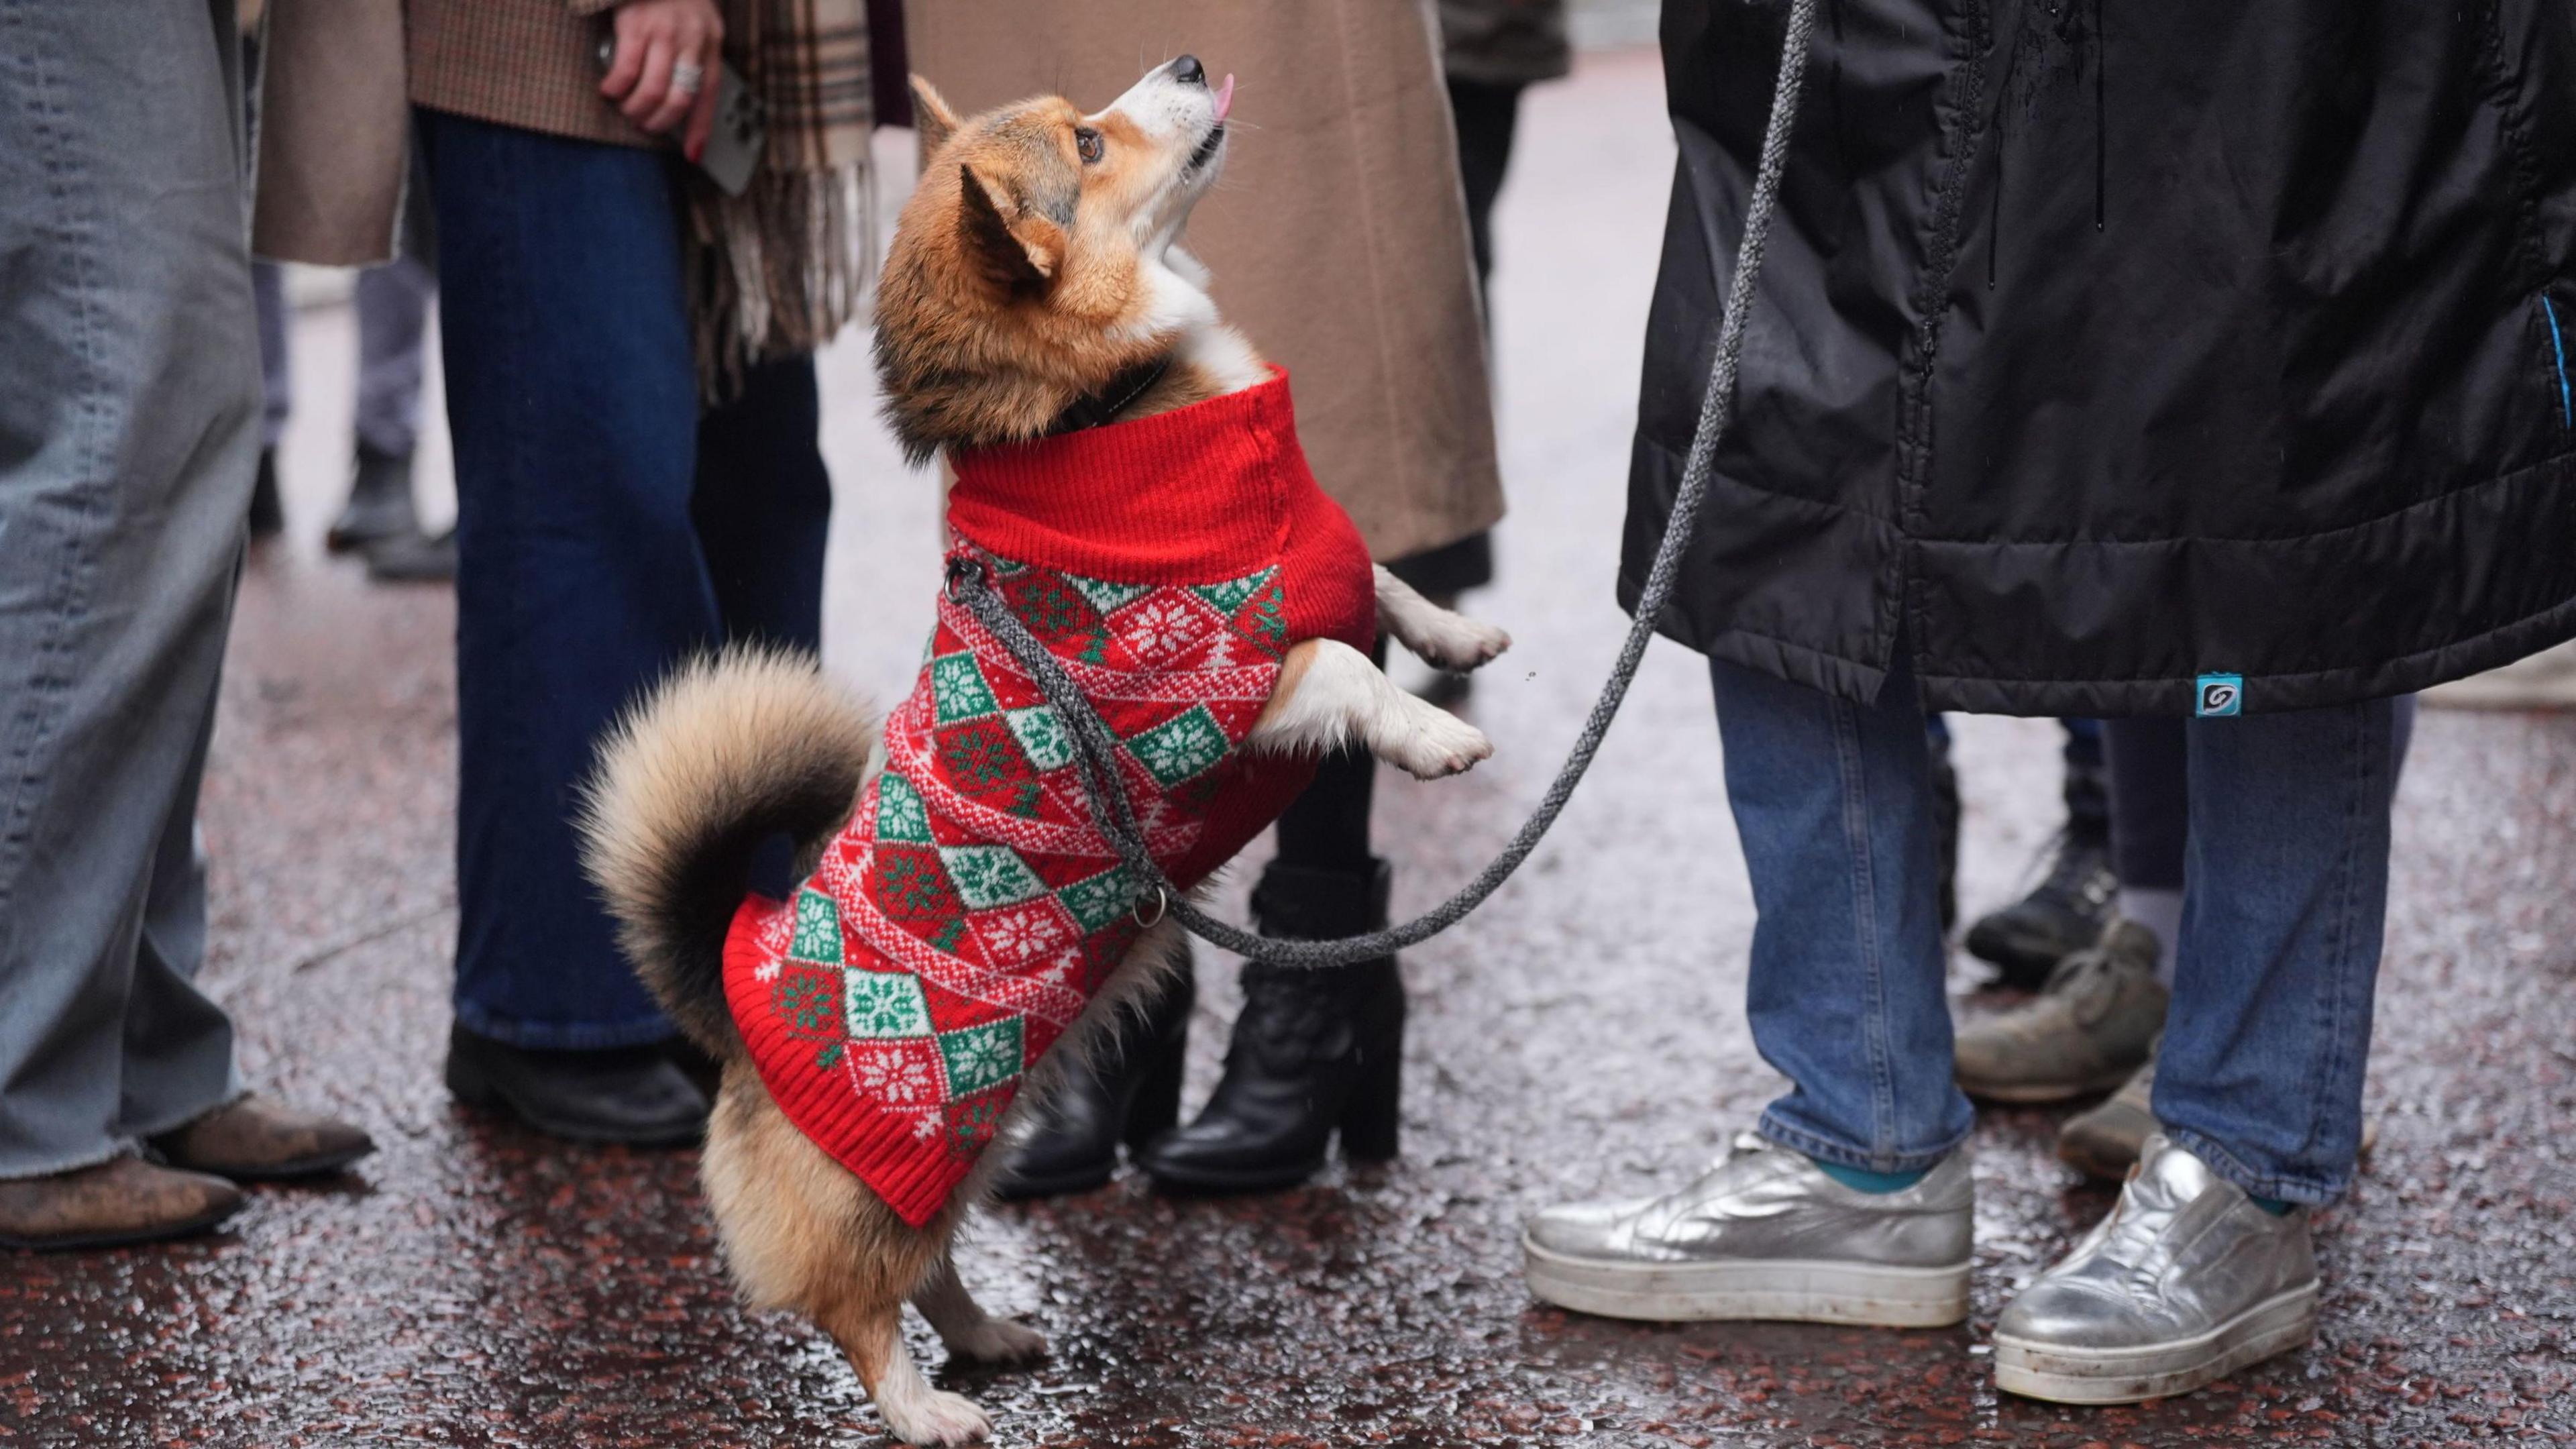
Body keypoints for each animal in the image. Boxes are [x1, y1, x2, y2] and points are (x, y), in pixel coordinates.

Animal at [584, 59, 1504, 1444]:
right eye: (1089, 143)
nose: (1188, 64)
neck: (1097, 413)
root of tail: (724, 1014)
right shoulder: (1201, 695)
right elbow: (1342, 666)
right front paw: (1438, 733)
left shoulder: (1331, 581)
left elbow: (1380, 590)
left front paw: (1462, 634)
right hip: (891, 1173)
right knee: (857, 1306)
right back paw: (925, 1410)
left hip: (976, 1145)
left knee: (938, 1264)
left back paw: (993, 1338)